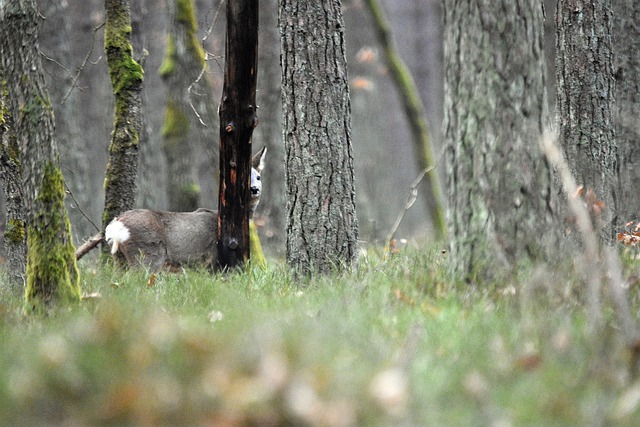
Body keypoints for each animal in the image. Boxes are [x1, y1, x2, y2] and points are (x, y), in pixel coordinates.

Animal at [101, 145, 266, 270]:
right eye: (244, 178)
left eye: (258, 177)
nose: (254, 189)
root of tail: (115, 227)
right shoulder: (212, 259)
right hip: (147, 253)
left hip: (119, 258)